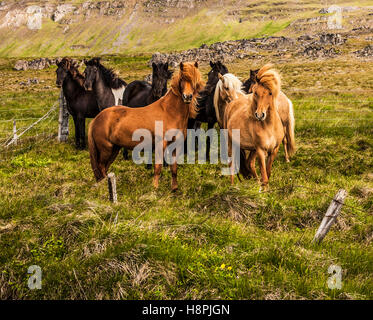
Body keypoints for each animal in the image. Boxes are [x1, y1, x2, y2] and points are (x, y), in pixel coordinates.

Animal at [87, 61, 203, 191]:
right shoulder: (160, 144)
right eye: (183, 78)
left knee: (104, 169)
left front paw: (174, 189)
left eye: (194, 79)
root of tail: (96, 119)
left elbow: (174, 168)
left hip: (114, 149)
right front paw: (155, 188)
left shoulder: (174, 145)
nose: (187, 97)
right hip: (106, 149)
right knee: (101, 167)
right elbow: (158, 167)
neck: (170, 111)